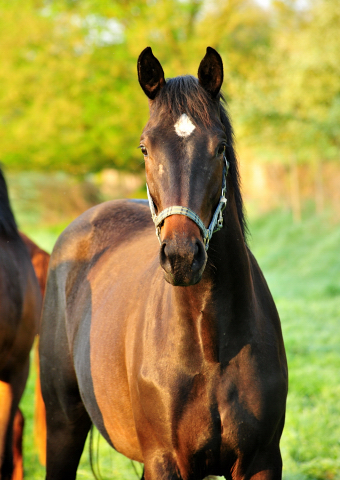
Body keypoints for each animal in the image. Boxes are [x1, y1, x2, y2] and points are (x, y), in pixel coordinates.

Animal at [41, 47, 288, 480]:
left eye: (219, 147)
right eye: (145, 148)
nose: (182, 257)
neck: (211, 345)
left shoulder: (260, 462)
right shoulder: (166, 460)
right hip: (63, 425)